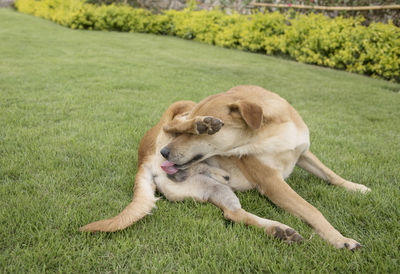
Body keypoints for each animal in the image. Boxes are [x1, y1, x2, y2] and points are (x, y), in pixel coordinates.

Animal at [80, 85, 368, 250]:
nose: (166, 153)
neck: (269, 131)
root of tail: (144, 159)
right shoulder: (272, 182)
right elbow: (312, 210)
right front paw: (340, 239)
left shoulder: (304, 153)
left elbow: (330, 175)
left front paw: (355, 187)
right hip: (180, 110)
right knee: (172, 122)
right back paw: (202, 123)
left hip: (212, 189)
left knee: (233, 214)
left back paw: (278, 230)